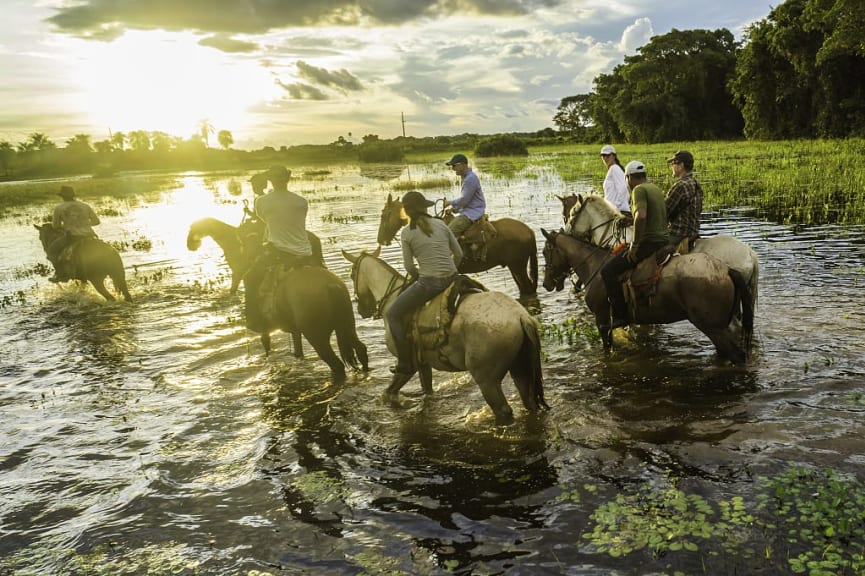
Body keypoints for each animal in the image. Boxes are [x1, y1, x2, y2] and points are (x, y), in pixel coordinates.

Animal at [340, 245, 548, 426]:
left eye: (352, 274)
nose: (362, 310)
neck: (392, 298)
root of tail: (521, 316)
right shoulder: (423, 364)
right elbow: (427, 389)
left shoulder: (408, 365)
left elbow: (388, 392)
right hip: (519, 368)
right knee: (529, 401)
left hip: (487, 380)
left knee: (503, 410)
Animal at [540, 227, 748, 362]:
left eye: (544, 252)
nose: (546, 284)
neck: (595, 266)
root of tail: (726, 270)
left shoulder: (602, 320)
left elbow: (607, 348)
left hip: (713, 328)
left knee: (737, 356)